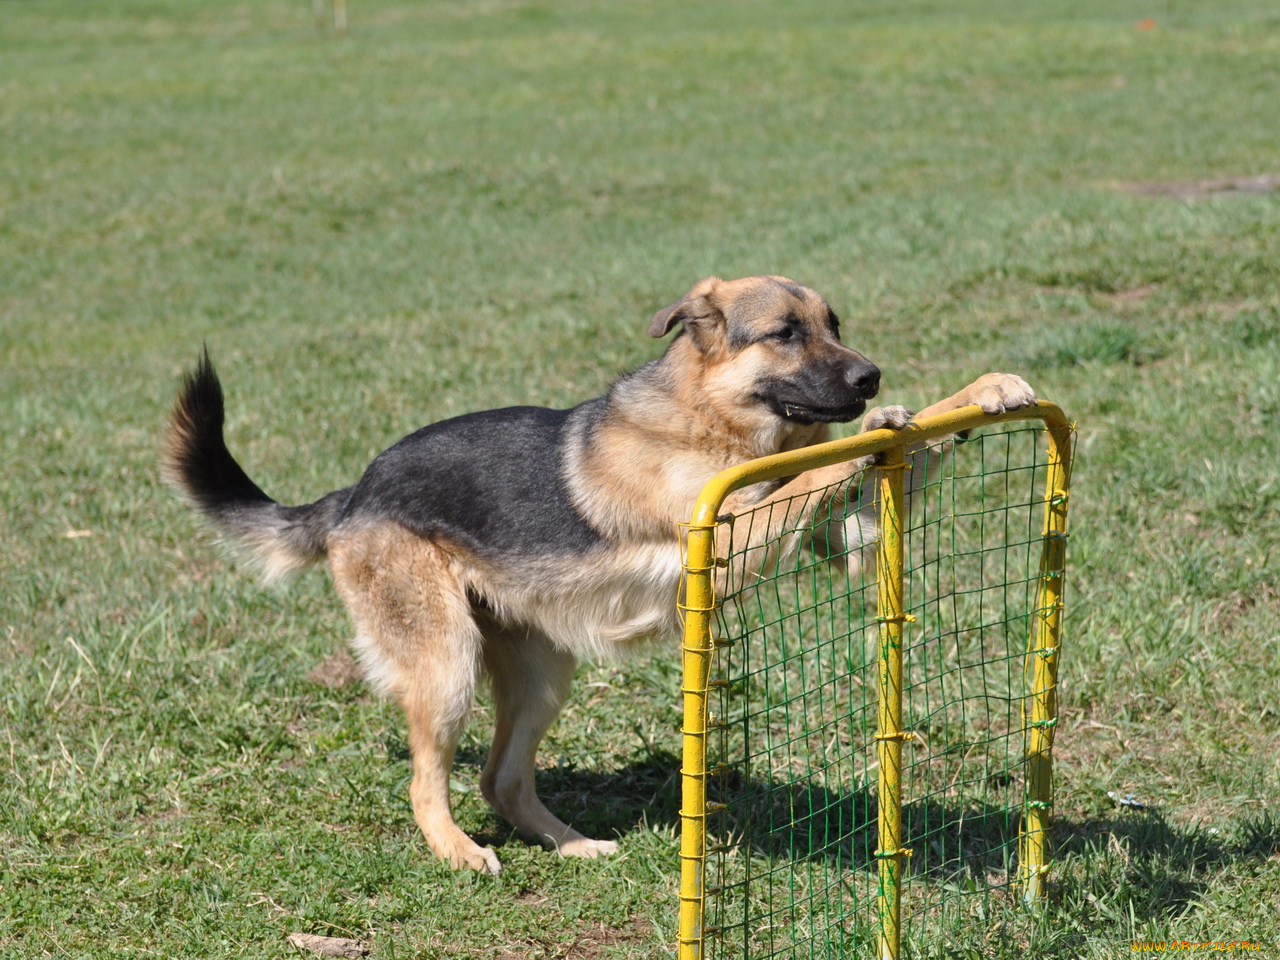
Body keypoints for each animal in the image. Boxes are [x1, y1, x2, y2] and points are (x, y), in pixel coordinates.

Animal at [165, 273, 1034, 875]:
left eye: (834, 326)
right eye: (785, 334)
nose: (871, 379)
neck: (710, 421)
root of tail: (354, 494)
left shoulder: (843, 539)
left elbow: (877, 466)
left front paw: (981, 392)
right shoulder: (728, 536)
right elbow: (814, 471)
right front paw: (885, 424)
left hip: (541, 674)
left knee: (502, 780)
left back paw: (572, 845)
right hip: (447, 662)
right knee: (428, 781)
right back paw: (458, 852)